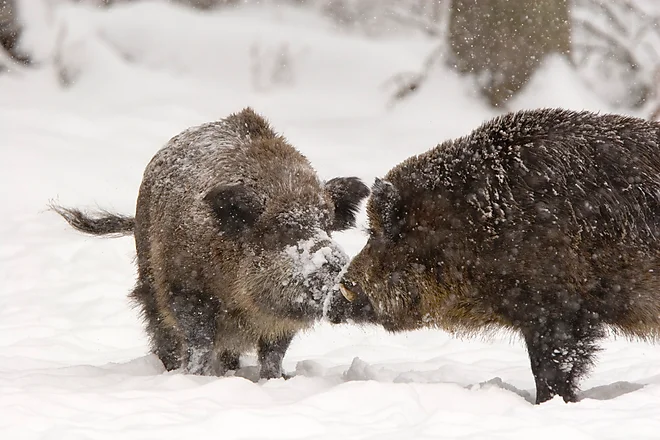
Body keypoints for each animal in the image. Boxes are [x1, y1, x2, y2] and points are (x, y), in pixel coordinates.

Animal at [53, 107, 369, 379]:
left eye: (327, 226)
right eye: (280, 230)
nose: (340, 269)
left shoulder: (279, 320)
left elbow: (273, 353)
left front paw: (276, 380)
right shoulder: (187, 290)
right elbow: (200, 342)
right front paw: (196, 377)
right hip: (149, 282)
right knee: (162, 333)